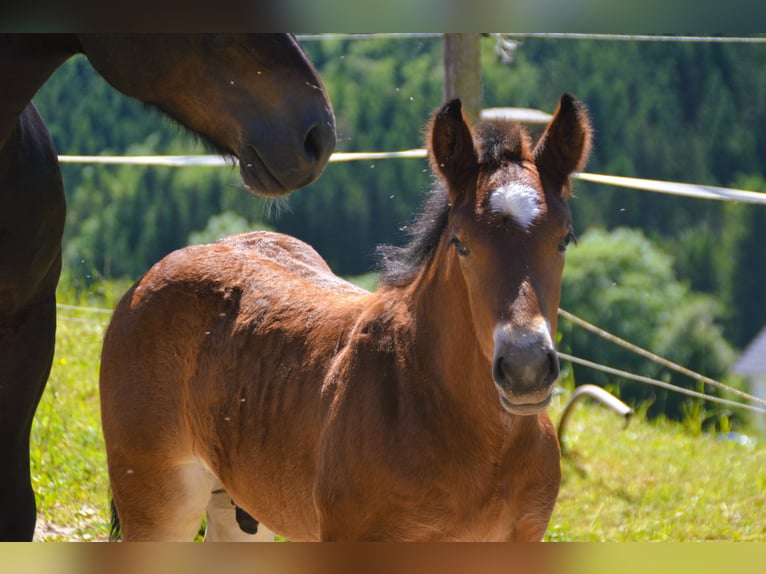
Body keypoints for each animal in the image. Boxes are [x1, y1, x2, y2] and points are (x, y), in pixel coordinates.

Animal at [100, 94, 592, 541]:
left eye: (564, 239)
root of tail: (154, 273)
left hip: (237, 507)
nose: (526, 369)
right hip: (158, 505)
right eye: (461, 243)